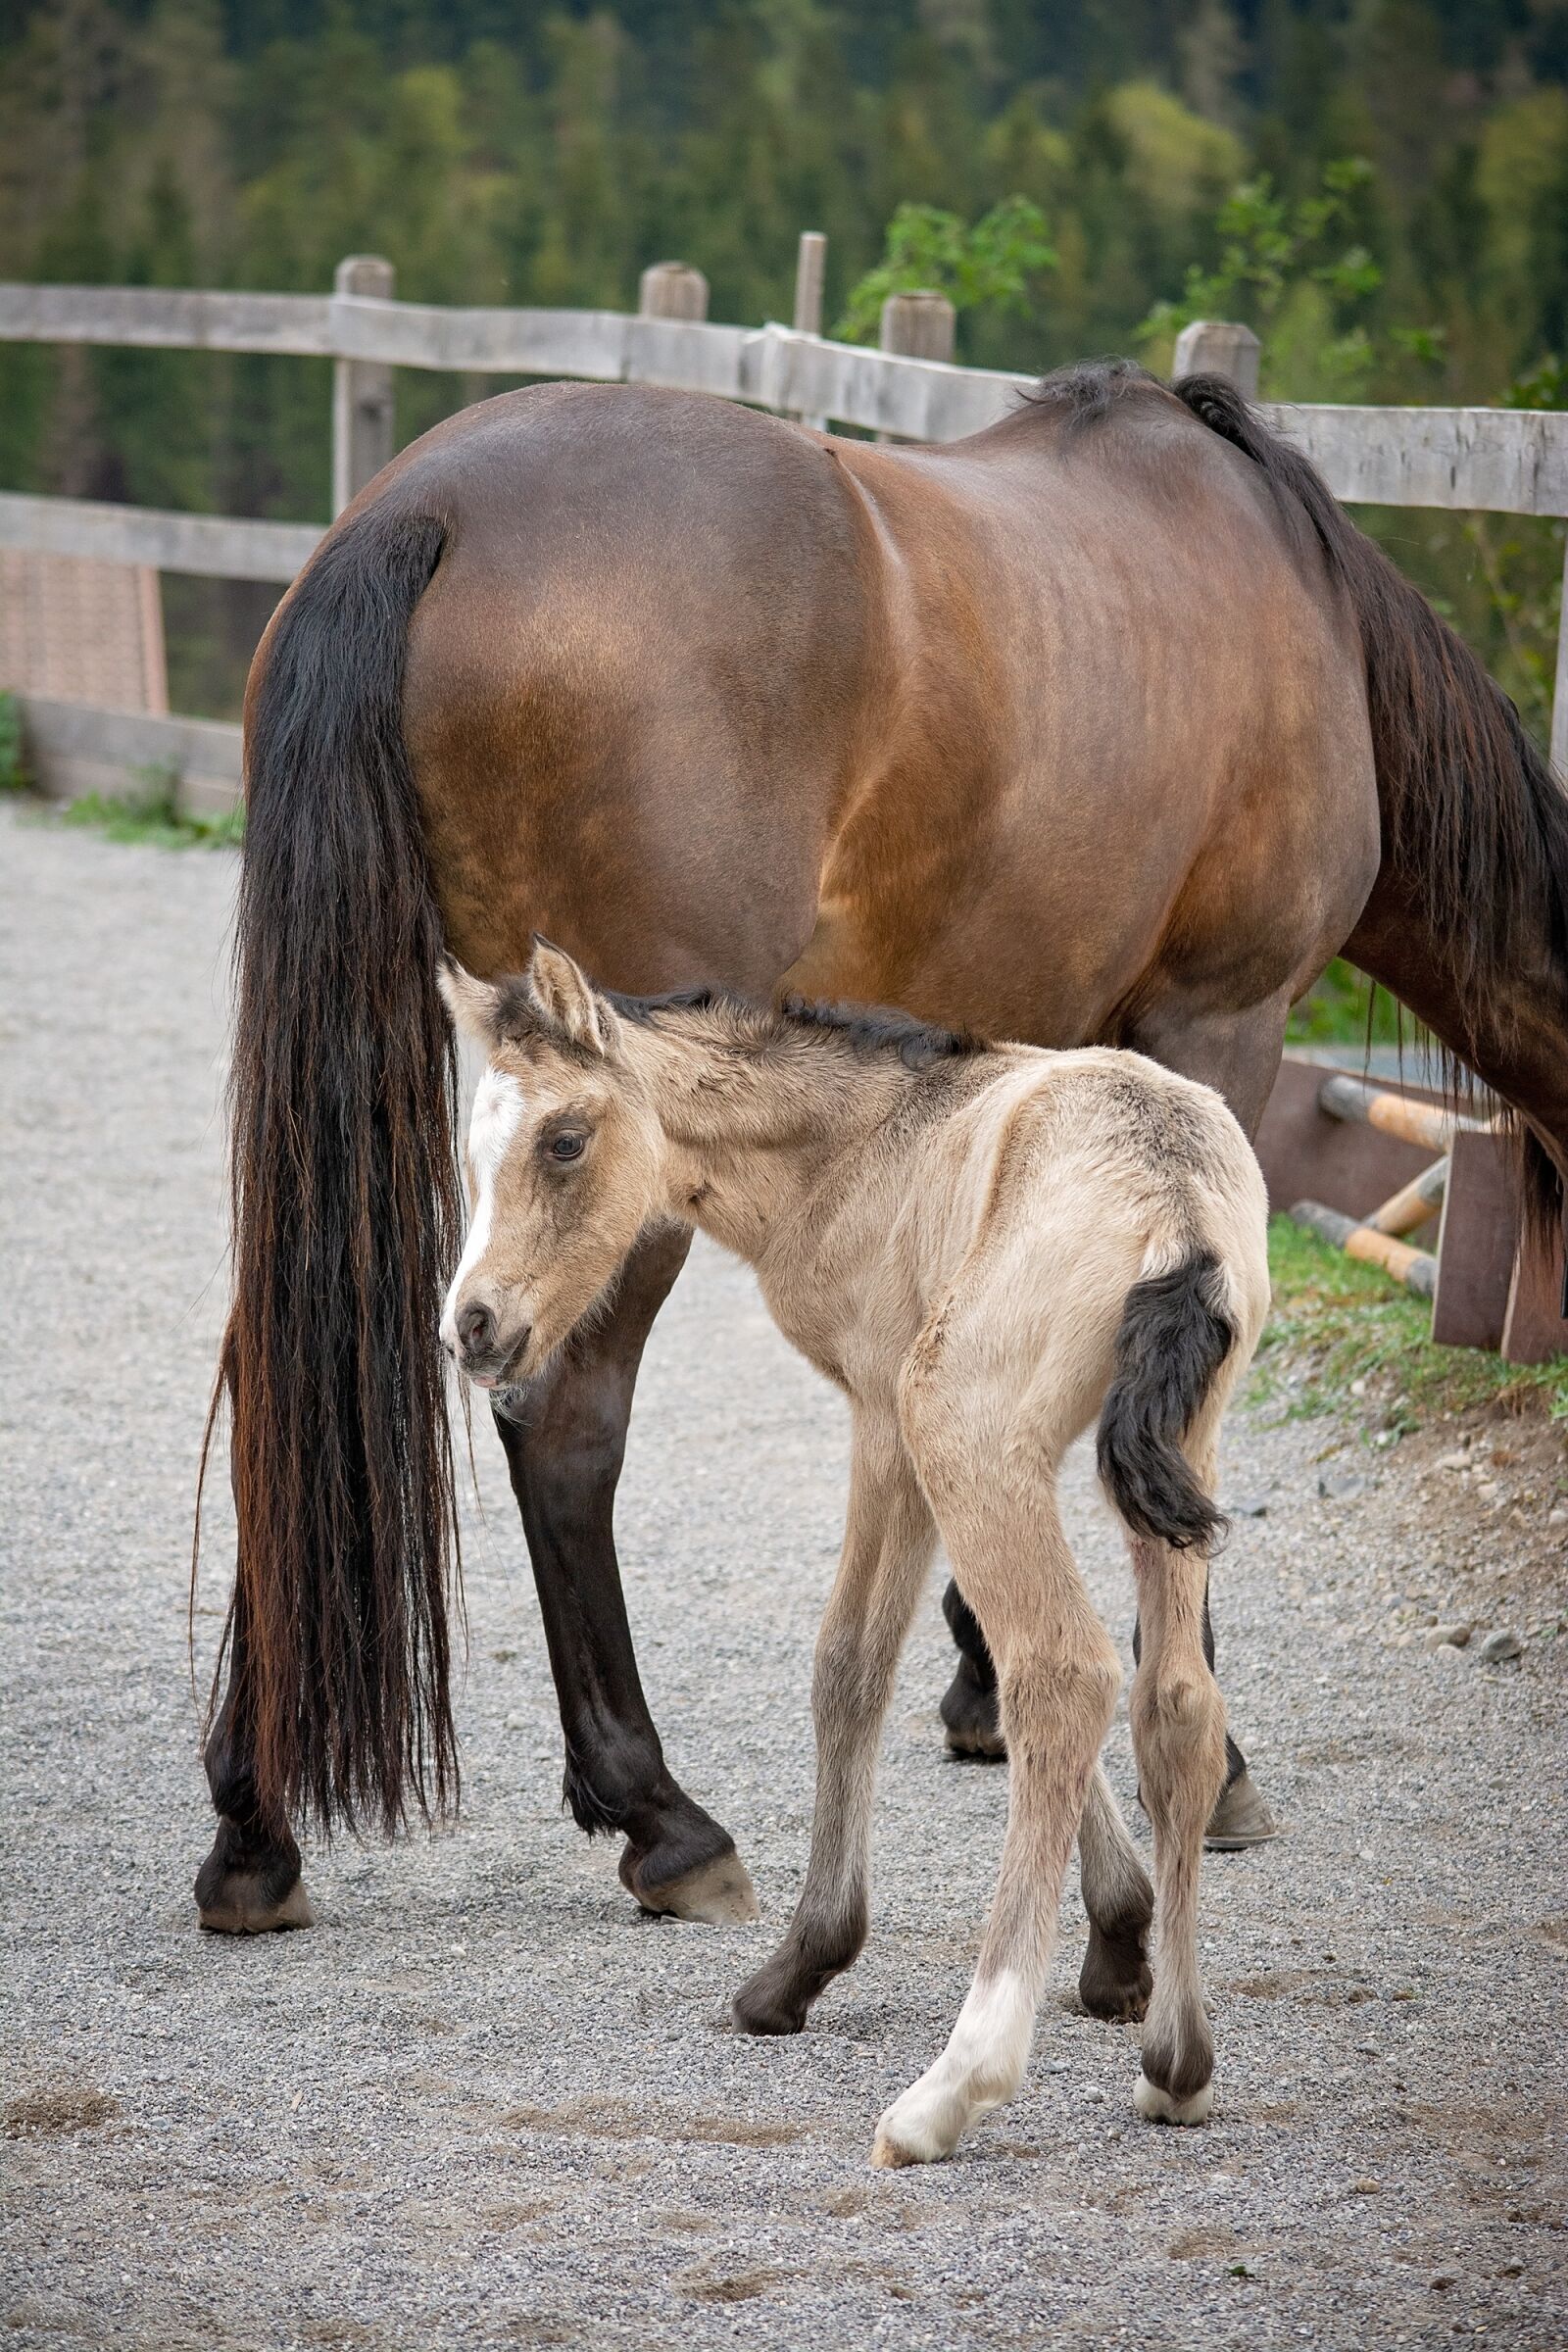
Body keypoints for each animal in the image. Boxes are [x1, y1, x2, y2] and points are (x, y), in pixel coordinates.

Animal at [195, 359, 1568, 1939]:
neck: (1294, 587)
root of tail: (425, 509)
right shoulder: (1214, 1034)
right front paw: (1204, 1762)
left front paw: (982, 1675)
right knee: (562, 1424)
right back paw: (662, 1820)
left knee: (291, 1387)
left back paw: (252, 1830)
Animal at [437, 939, 1272, 2159]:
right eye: (469, 1153)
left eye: (565, 1141)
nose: (473, 1328)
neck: (864, 1142)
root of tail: (1171, 1199)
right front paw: (1120, 1943)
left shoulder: (886, 1422)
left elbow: (851, 1668)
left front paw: (799, 1965)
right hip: (1181, 1447)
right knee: (1172, 1701)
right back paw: (1177, 2062)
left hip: (956, 1417)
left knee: (1064, 1672)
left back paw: (955, 2082)